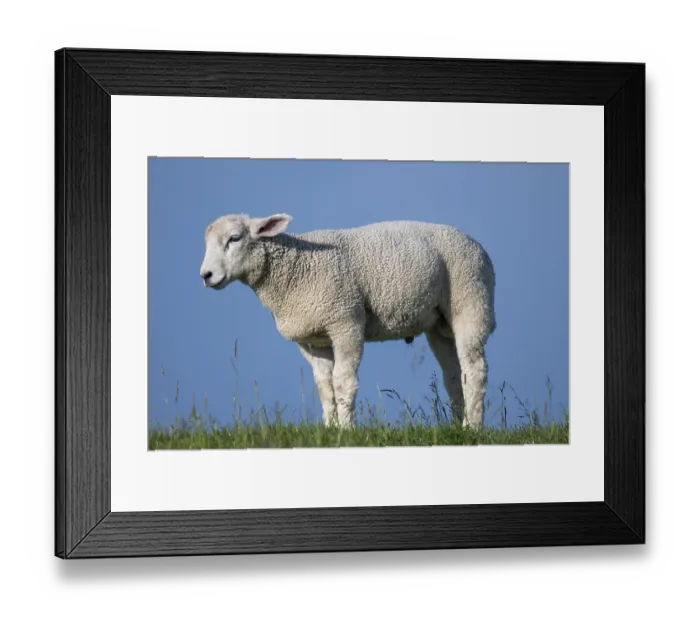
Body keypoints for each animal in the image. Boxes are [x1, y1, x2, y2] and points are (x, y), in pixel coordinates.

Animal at [199, 213, 496, 430]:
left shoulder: (346, 321)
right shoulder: (312, 338)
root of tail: (478, 246)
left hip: (471, 298)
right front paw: (330, 430)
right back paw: (457, 424)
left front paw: (347, 430)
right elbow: (325, 386)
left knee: (475, 369)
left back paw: (472, 427)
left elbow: (343, 382)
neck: (294, 269)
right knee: (454, 374)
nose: (206, 275)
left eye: (234, 238)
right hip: (439, 323)